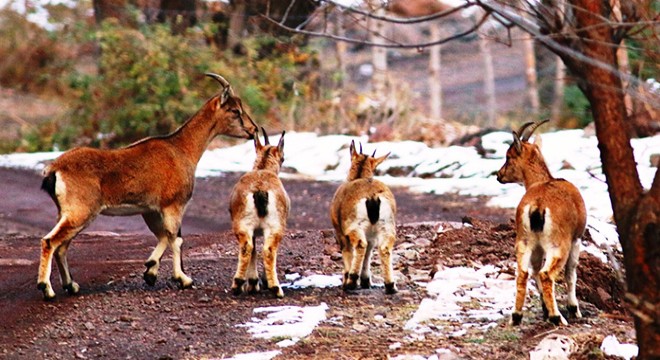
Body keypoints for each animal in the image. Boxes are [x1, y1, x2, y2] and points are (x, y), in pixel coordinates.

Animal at [35, 73, 258, 300]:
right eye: (235, 110)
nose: (253, 130)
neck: (181, 149)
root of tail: (54, 170)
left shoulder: (150, 210)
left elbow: (163, 236)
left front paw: (150, 271)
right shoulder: (173, 205)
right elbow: (175, 239)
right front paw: (183, 279)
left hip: (68, 213)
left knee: (61, 247)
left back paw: (71, 285)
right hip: (80, 212)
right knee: (50, 242)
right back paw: (47, 289)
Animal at [228, 128, 288, 296]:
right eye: (283, 158)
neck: (262, 169)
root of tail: (260, 190)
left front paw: (253, 283)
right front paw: (254, 283)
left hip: (246, 224)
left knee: (250, 248)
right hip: (273, 225)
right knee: (265, 250)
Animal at [330, 139, 398, 294]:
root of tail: (372, 196)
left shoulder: (340, 232)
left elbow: (348, 251)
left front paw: (347, 280)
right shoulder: (371, 235)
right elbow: (369, 252)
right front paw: (366, 281)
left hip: (355, 226)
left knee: (360, 245)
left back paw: (351, 282)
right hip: (386, 225)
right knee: (384, 248)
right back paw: (390, 285)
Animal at [498, 119, 584, 324]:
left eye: (508, 156)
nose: (499, 175)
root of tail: (538, 206)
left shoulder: (537, 246)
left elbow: (534, 271)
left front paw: (544, 309)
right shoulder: (576, 240)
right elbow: (571, 274)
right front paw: (574, 309)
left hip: (524, 241)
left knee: (523, 273)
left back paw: (516, 316)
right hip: (558, 245)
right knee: (547, 274)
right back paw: (557, 317)